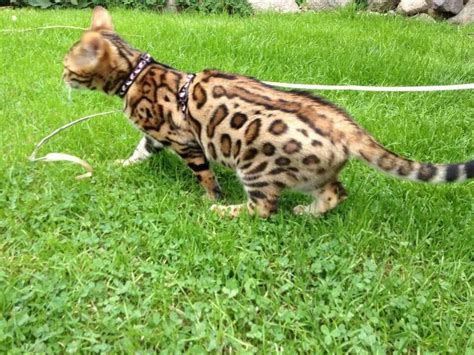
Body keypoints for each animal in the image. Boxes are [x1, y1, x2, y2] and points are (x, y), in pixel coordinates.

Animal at [64, 6, 474, 218]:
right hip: (312, 173)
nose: (60, 76)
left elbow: (203, 175)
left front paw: (210, 198)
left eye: (67, 67)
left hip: (256, 167)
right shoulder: (157, 137)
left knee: (263, 209)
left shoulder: (183, 139)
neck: (136, 74)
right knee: (336, 192)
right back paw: (307, 212)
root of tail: (345, 125)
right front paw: (123, 164)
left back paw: (224, 212)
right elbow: (140, 150)